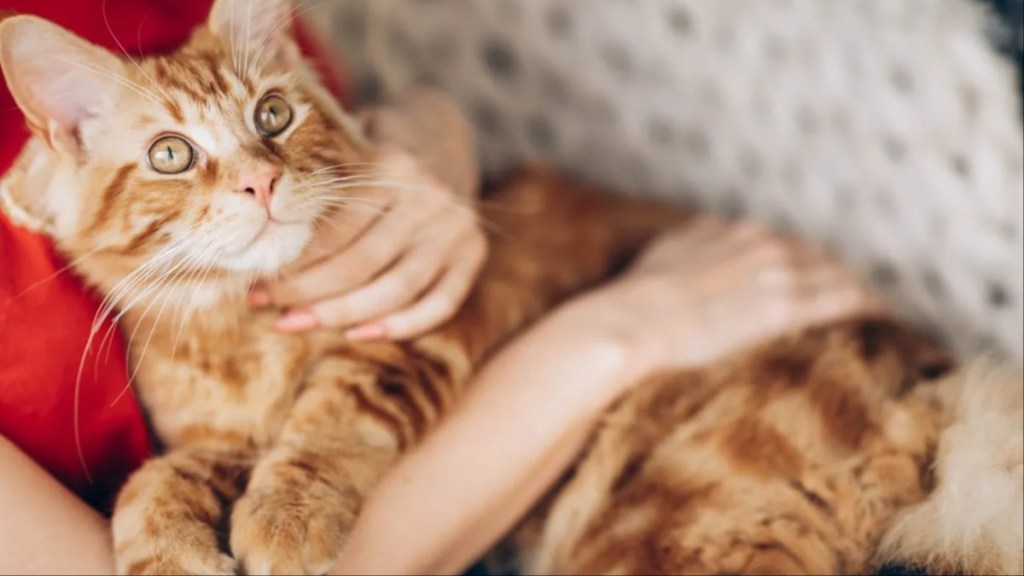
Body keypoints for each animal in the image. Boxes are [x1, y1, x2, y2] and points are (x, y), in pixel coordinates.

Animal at [0, 1, 688, 569]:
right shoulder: (224, 443)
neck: (244, 331)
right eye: (170, 154)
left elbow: (337, 412)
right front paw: (168, 552)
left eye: (272, 114)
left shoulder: (426, 324)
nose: (259, 181)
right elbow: (154, 480)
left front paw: (289, 516)